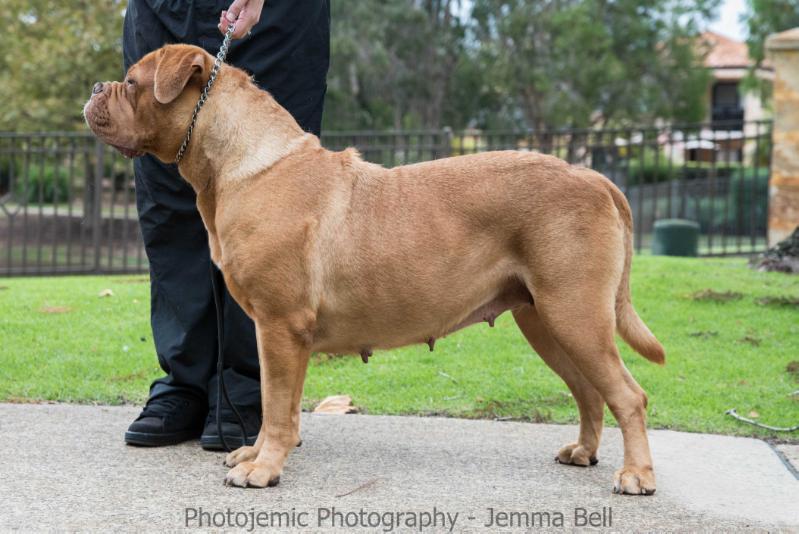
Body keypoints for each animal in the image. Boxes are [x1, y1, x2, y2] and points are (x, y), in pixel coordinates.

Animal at [84, 44, 664, 496]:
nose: (95, 88)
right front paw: (258, 453)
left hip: (575, 313)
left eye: (132, 82)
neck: (241, 163)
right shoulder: (282, 334)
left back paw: (637, 475)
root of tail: (592, 175)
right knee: (589, 391)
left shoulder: (279, 326)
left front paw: (263, 468)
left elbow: (276, 405)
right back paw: (584, 451)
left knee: (628, 395)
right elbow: (280, 406)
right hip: (543, 318)